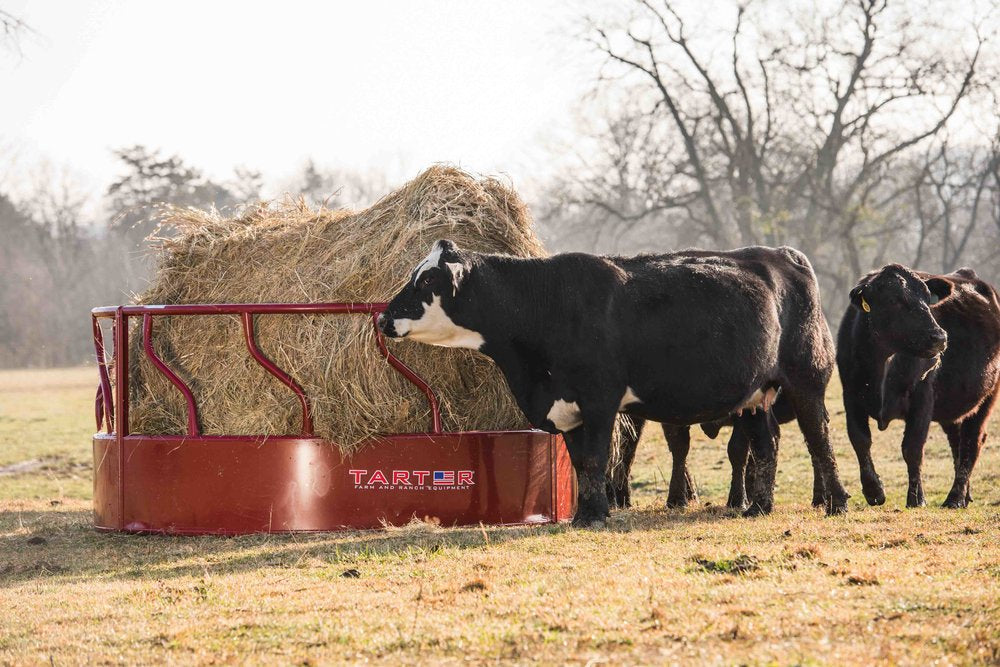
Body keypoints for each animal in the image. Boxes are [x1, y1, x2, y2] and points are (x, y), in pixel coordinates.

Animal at [378, 240, 850, 525]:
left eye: (427, 279)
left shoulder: (600, 400)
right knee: (766, 445)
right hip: (753, 394)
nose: (383, 317)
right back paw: (759, 507)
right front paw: (582, 514)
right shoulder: (566, 409)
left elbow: (596, 459)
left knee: (819, 438)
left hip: (806, 379)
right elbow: (581, 463)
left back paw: (837, 501)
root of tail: (781, 254)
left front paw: (596, 515)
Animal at [837, 265, 1000, 508]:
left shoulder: (923, 397)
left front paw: (916, 498)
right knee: (958, 442)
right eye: (894, 300)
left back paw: (954, 498)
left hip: (988, 396)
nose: (939, 337)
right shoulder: (851, 394)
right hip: (952, 406)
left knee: (972, 442)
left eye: (927, 298)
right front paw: (874, 490)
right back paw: (965, 496)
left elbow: (912, 447)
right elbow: (860, 440)